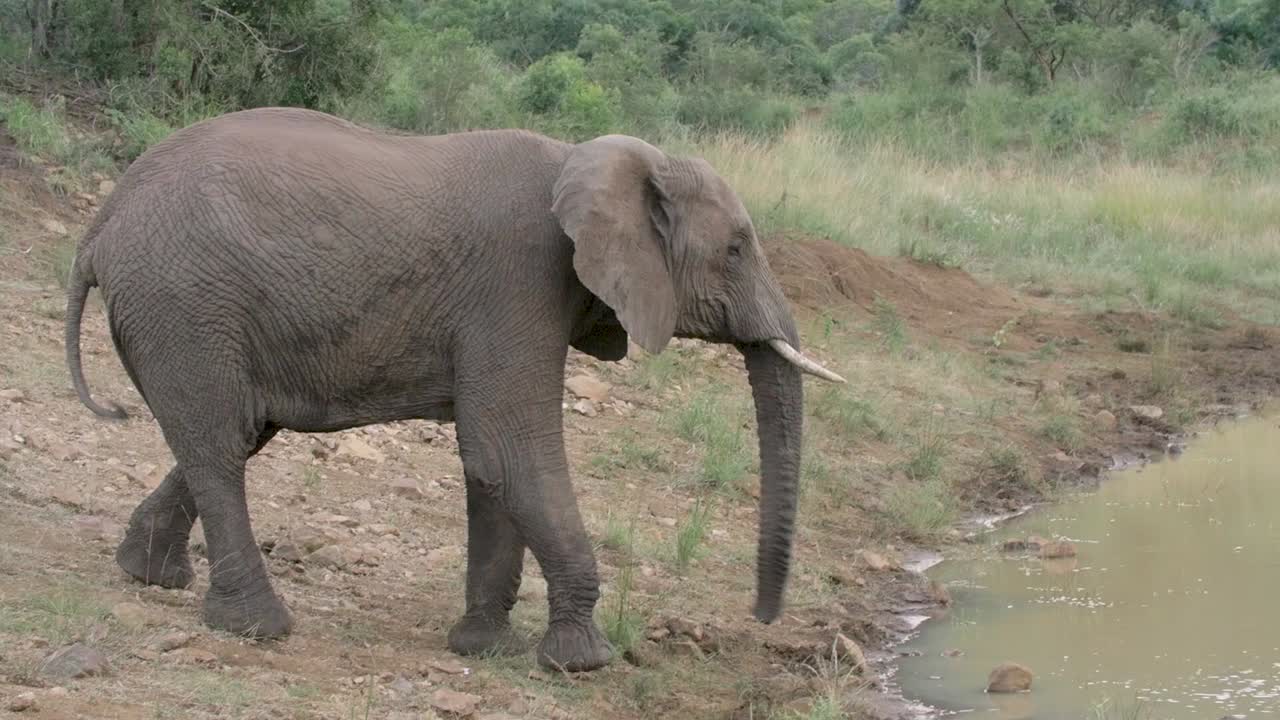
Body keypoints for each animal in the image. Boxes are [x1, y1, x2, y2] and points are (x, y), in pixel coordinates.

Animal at [64, 107, 845, 671]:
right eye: (737, 249)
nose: (763, 620)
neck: (590, 157)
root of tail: (99, 226)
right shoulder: (519, 280)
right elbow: (511, 449)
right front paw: (582, 662)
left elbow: (489, 463)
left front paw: (482, 647)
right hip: (185, 302)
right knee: (223, 444)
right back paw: (257, 626)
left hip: (186, 313)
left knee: (235, 431)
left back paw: (150, 574)